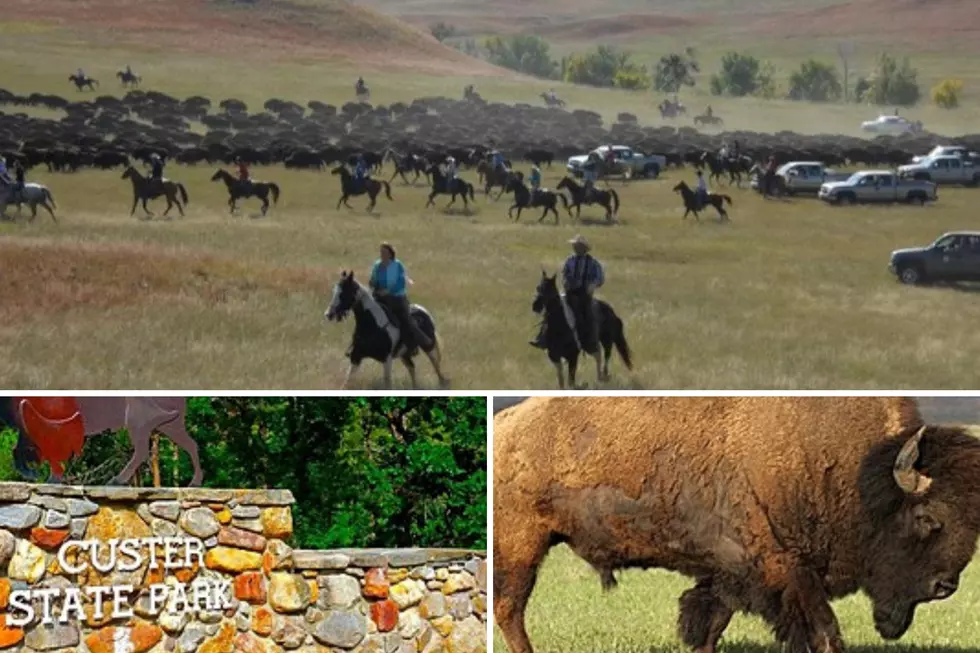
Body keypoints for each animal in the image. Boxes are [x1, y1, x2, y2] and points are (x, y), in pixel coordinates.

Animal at [0, 394, 203, 486]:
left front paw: (51, 479)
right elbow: (19, 448)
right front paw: (33, 474)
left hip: (140, 421)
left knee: (142, 450)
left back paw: (116, 481)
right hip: (171, 426)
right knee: (192, 445)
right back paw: (195, 482)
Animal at [494, 394, 980, 652]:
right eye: (927, 517)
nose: (945, 586)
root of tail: (504, 424)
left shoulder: (728, 574)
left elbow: (708, 624)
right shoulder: (785, 569)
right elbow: (825, 631)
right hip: (522, 545)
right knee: (509, 608)